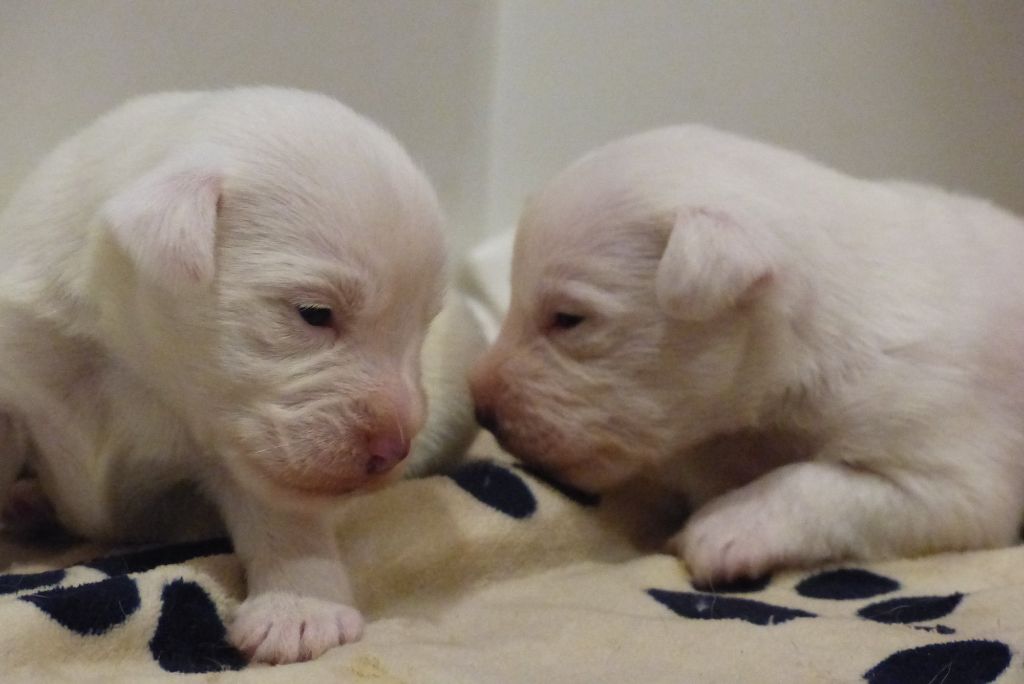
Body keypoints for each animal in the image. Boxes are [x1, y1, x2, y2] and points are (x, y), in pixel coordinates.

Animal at [0, 89, 448, 663]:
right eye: (314, 313)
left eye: (424, 324)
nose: (394, 452)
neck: (129, 363)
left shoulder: (248, 450)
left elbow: (284, 512)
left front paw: (299, 609)